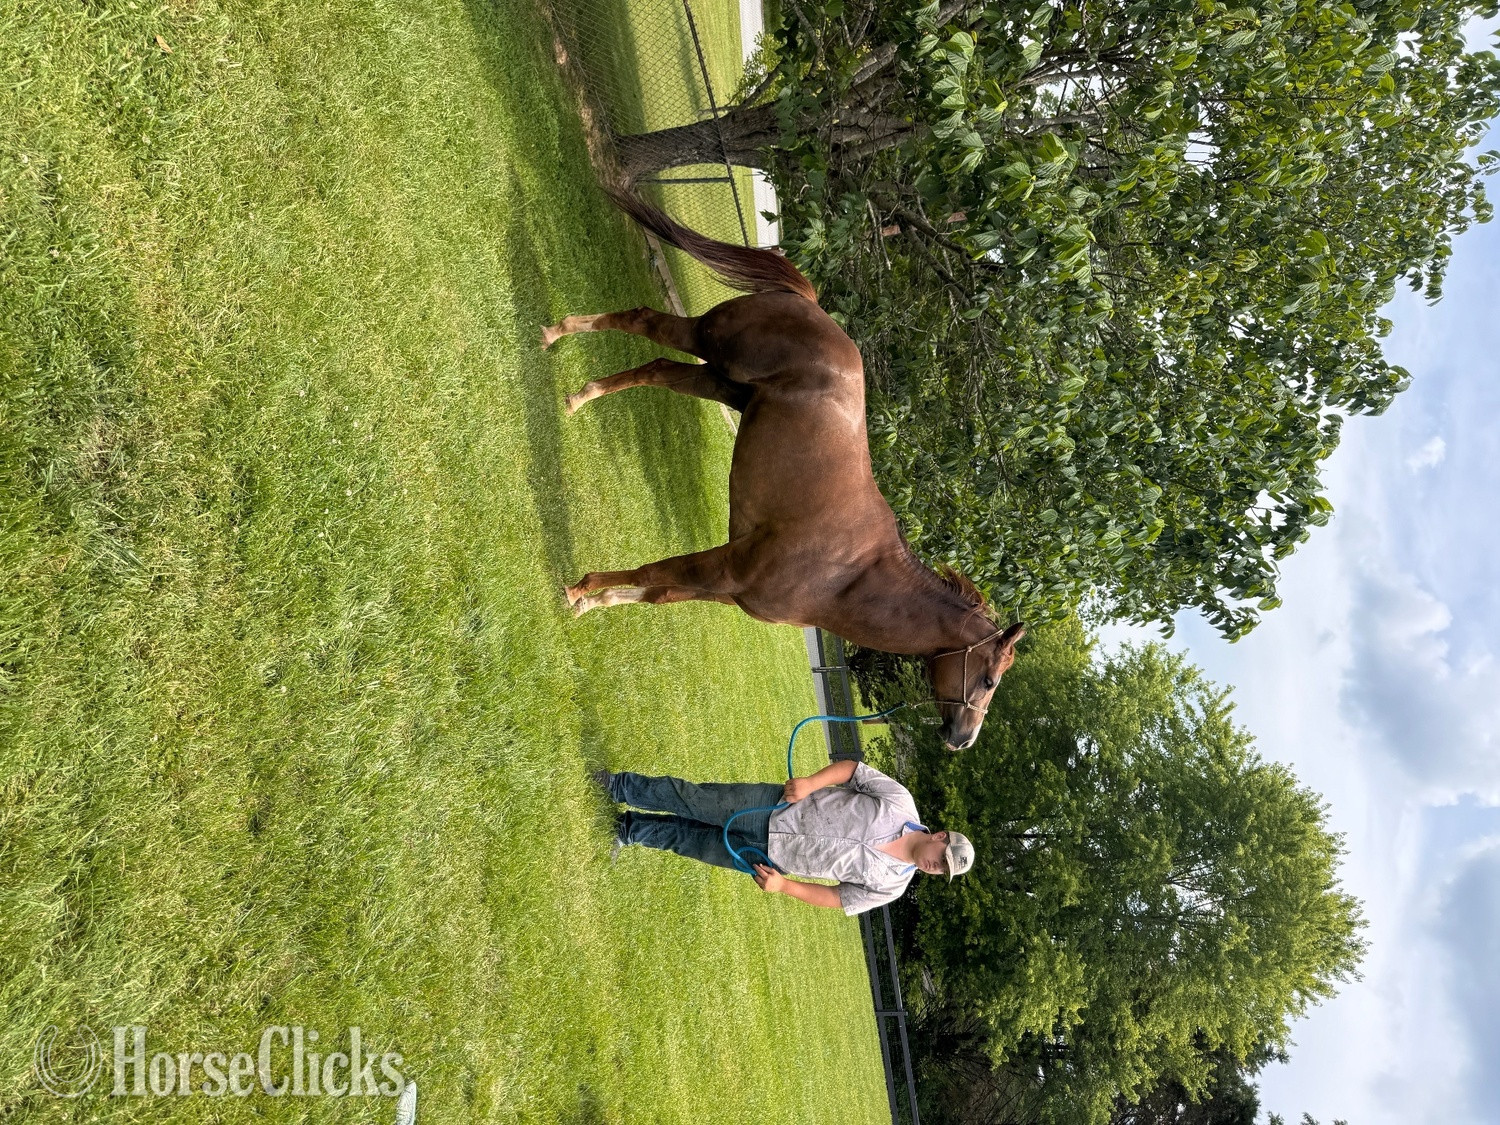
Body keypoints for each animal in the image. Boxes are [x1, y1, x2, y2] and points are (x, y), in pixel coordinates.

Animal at [542, 190, 1024, 750]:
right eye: (989, 679)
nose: (962, 739)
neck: (846, 577)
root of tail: (810, 304)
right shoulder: (724, 566)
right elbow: (652, 571)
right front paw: (578, 590)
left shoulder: (719, 588)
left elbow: (654, 592)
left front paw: (591, 602)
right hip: (709, 342)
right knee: (642, 322)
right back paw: (555, 338)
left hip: (718, 380)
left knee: (656, 370)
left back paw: (579, 396)